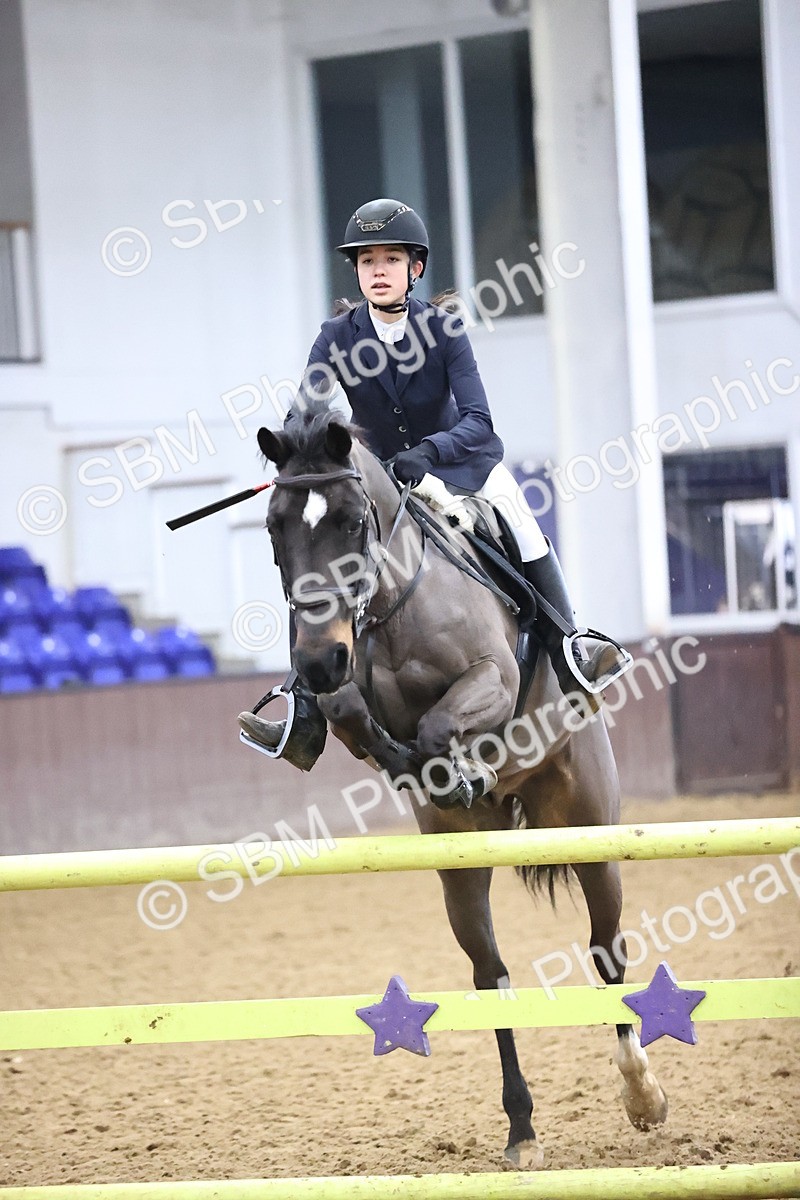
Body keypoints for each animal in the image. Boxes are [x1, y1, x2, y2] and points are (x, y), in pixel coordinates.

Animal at [252, 398, 667, 1166]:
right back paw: (522, 1130)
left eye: (352, 521)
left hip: (591, 829)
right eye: (275, 527)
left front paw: (450, 763)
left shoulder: (492, 679)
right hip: (462, 870)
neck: (393, 606)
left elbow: (446, 718)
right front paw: (421, 767)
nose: (318, 659)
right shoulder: (349, 692)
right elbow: (355, 716)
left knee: (606, 949)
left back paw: (642, 1094)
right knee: (491, 972)